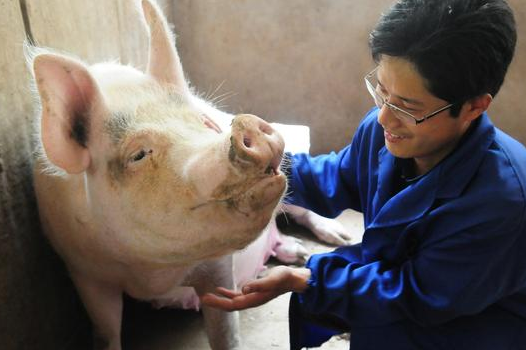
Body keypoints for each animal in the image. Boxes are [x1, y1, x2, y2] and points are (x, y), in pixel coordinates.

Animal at [26, 1, 352, 348]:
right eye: (138, 154)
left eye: (205, 123)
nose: (248, 125)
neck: (151, 271)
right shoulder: (84, 272)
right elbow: (106, 331)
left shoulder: (218, 265)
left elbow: (224, 330)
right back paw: (297, 253)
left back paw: (338, 238)